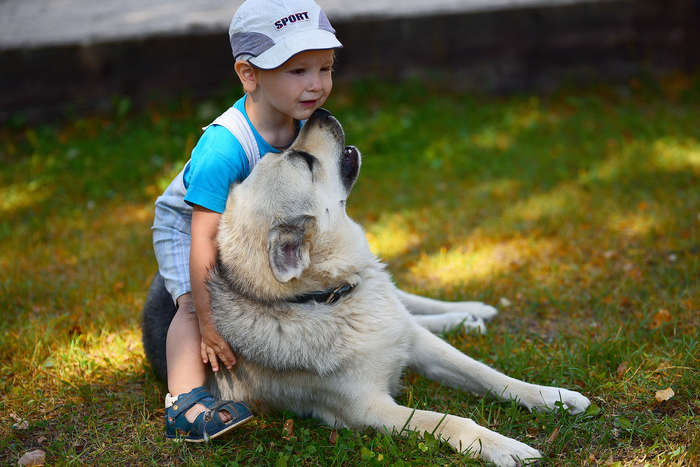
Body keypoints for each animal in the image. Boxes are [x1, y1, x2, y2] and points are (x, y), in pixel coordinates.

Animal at [142, 109, 592, 464]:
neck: (330, 297)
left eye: (288, 152)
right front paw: (502, 446)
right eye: (303, 160)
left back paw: (470, 312)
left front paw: (551, 397)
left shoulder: (417, 345)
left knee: (413, 308)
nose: (319, 111)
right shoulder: (369, 409)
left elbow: (488, 375)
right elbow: (449, 420)